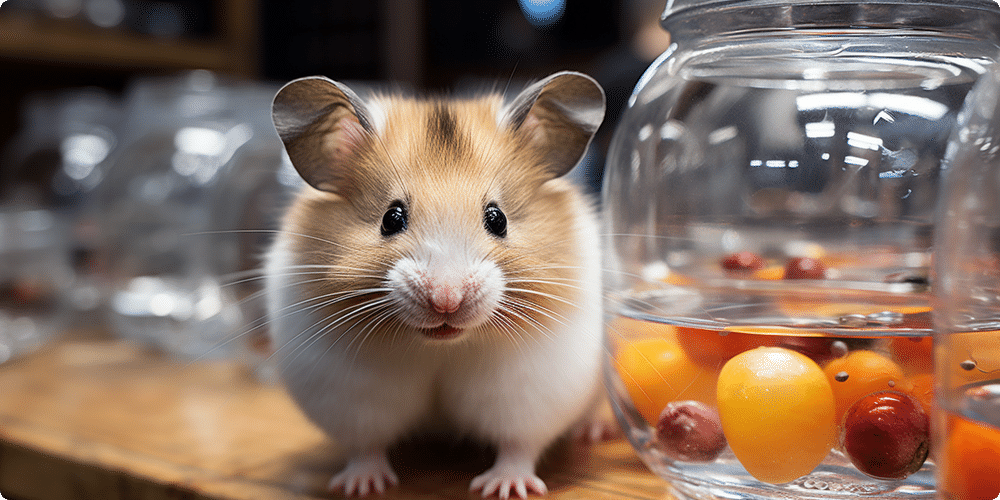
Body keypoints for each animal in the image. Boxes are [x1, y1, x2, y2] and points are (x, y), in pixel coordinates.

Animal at [265, 71, 606, 499]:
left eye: (497, 219)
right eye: (391, 218)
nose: (446, 301)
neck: (441, 348)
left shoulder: (525, 395)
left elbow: (517, 445)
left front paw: (502, 488)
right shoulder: (353, 399)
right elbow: (365, 446)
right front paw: (361, 486)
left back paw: (591, 432)